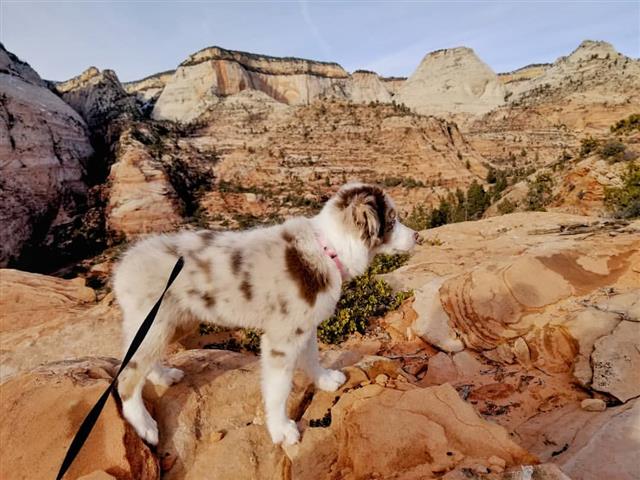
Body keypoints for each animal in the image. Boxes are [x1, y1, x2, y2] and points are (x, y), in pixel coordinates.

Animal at [112, 182, 418, 444]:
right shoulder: (281, 339)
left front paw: (325, 380)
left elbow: (312, 357)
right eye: (392, 220)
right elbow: (278, 388)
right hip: (157, 321)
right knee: (127, 376)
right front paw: (282, 430)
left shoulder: (305, 326)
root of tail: (125, 264)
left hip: (167, 323)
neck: (327, 249)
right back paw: (145, 425)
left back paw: (163, 376)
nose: (416, 236)